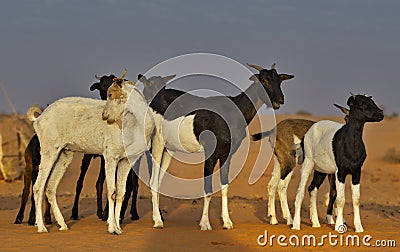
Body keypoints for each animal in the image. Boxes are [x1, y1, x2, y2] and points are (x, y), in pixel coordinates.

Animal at [28, 69, 155, 234]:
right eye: (106, 92)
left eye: (111, 94)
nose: (104, 115)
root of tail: (39, 119)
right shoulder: (110, 157)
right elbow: (112, 191)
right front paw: (112, 228)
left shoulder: (127, 161)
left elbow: (121, 193)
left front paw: (119, 228)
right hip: (49, 151)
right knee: (38, 187)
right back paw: (42, 227)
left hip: (64, 154)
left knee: (50, 187)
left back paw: (63, 225)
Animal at [128, 63, 294, 230]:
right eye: (264, 80)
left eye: (279, 80)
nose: (280, 99)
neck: (232, 110)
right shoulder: (210, 154)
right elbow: (207, 189)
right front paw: (205, 223)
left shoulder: (227, 155)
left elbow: (225, 186)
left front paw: (227, 222)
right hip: (157, 144)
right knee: (152, 180)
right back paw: (157, 221)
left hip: (169, 150)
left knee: (158, 180)